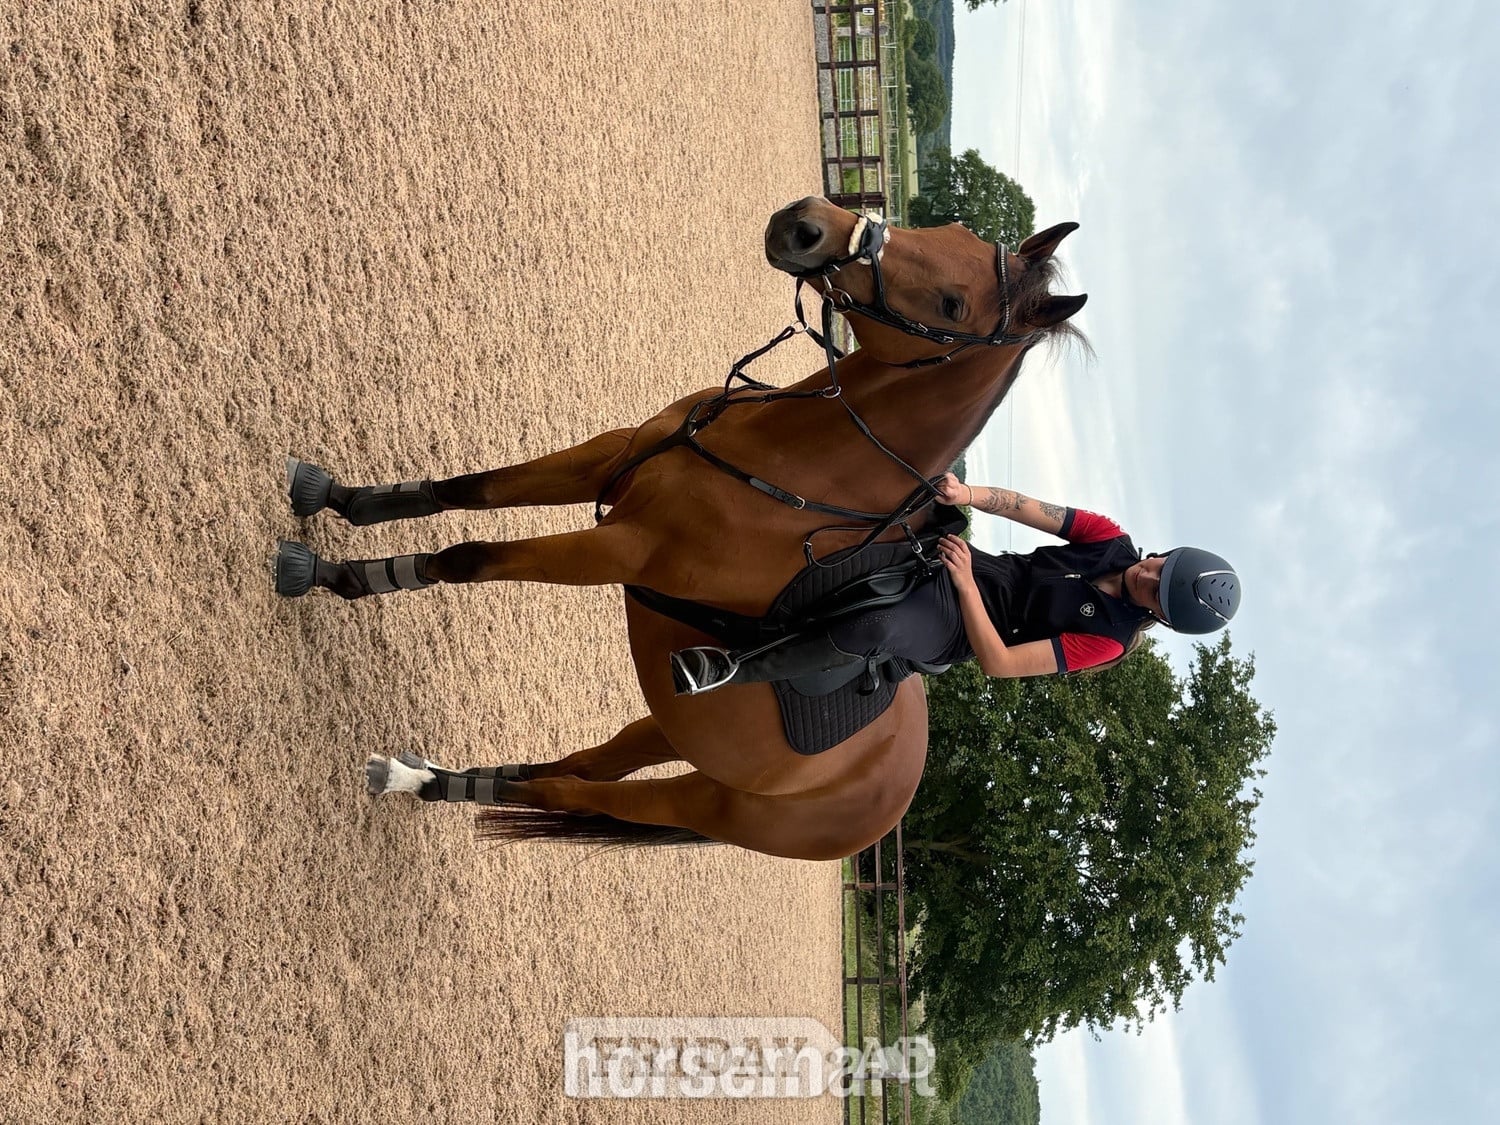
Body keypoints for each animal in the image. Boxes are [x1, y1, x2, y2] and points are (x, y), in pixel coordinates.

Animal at [277, 197, 1087, 860]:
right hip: (672, 726)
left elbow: (464, 558)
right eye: (947, 230)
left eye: (953, 302)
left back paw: (417, 781)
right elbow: (468, 492)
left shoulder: (615, 550)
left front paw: (335, 575)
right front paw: (337, 501)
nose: (805, 224)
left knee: (573, 789)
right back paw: (437, 777)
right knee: (581, 765)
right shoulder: (608, 459)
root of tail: (890, 802)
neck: (786, 461)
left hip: (704, 800)